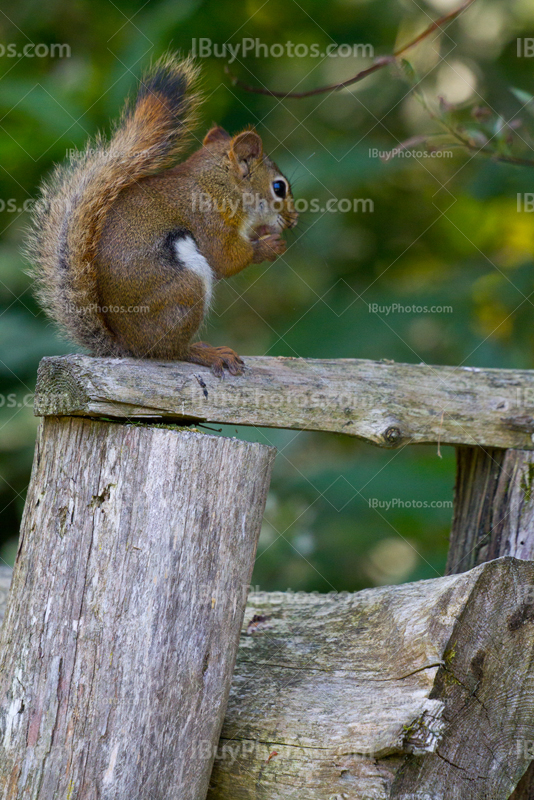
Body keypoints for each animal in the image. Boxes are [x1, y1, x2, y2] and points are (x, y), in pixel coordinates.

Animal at [27, 56, 300, 376]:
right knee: (171, 350)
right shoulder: (210, 221)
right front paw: (268, 246)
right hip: (184, 289)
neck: (218, 185)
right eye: (279, 188)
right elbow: (226, 258)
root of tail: (129, 346)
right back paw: (205, 352)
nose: (294, 220)